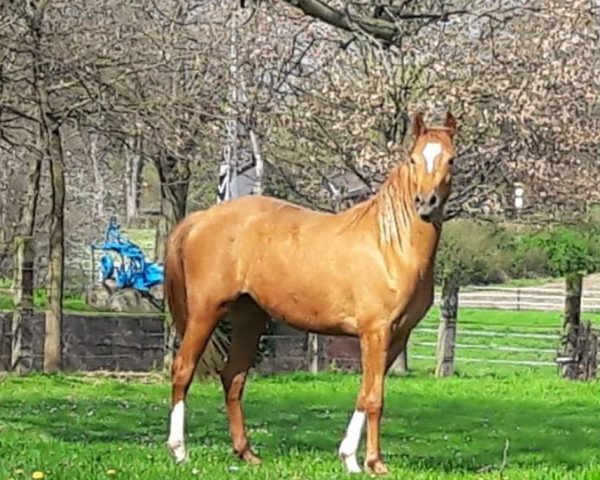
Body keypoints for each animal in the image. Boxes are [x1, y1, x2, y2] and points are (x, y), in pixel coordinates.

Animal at [163, 110, 454, 474]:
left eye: (451, 159)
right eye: (414, 159)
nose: (426, 204)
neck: (390, 244)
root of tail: (201, 219)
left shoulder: (396, 336)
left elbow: (364, 393)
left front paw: (349, 458)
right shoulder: (376, 332)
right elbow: (375, 398)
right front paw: (373, 462)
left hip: (250, 319)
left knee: (233, 377)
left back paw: (246, 453)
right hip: (206, 311)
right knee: (183, 369)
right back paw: (179, 451)